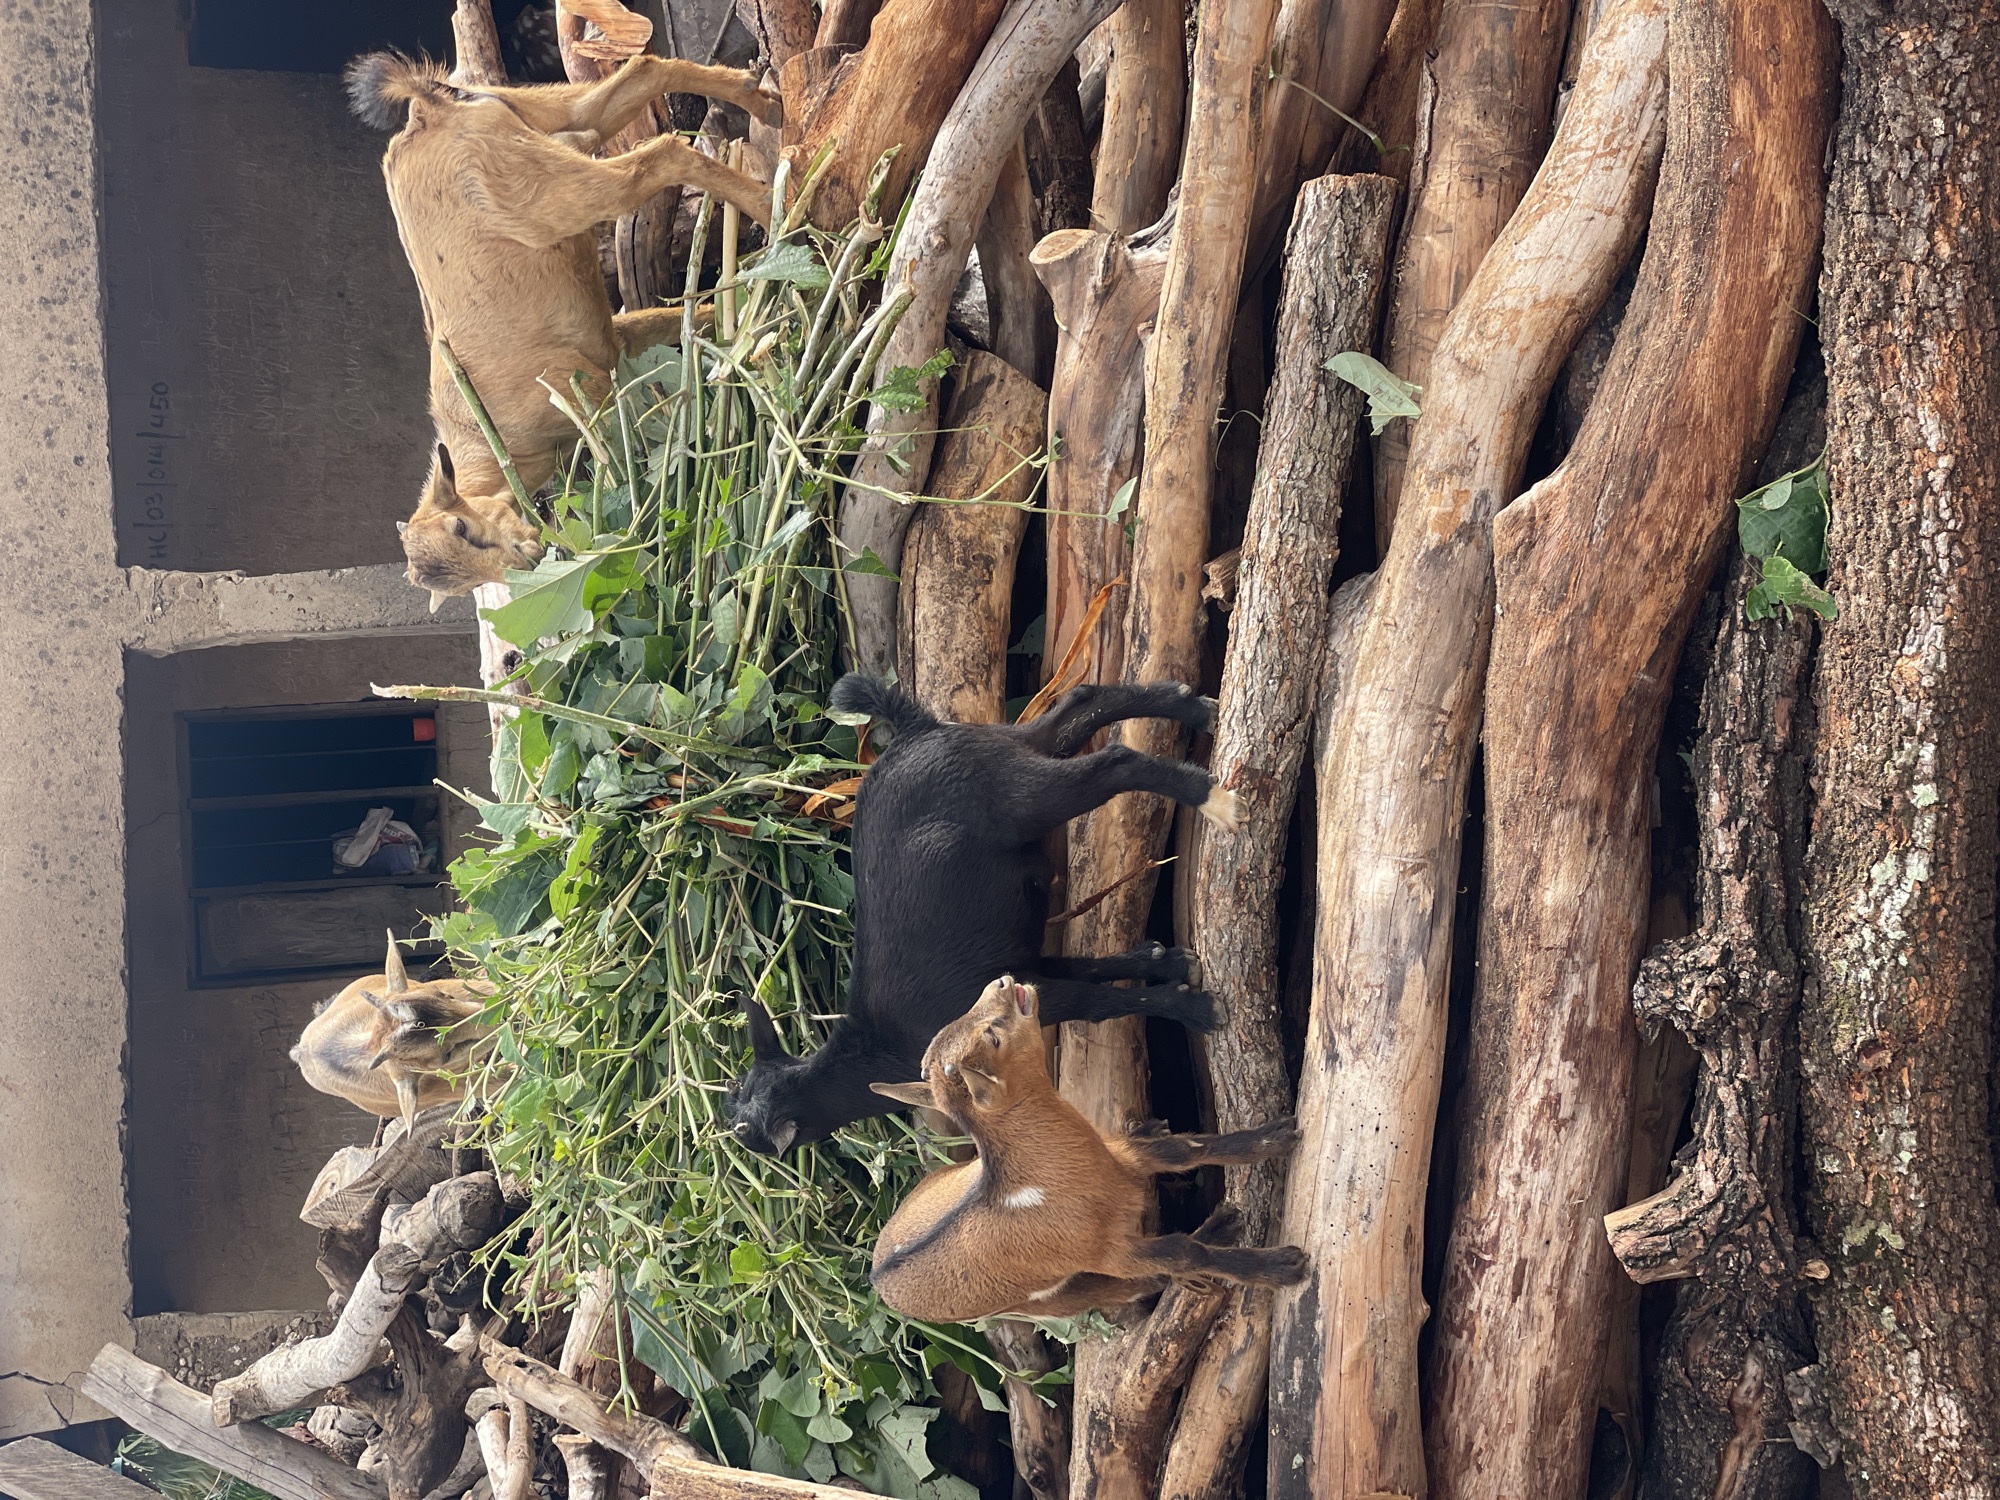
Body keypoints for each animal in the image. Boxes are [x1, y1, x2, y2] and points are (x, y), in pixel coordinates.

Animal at [346, 51, 782, 601]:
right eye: (464, 586)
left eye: (462, 528)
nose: (529, 557)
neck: (487, 431)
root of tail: (426, 115)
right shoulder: (614, 343)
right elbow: (670, 322)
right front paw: (731, 319)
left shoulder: (587, 389)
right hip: (542, 121)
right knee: (639, 75)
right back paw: (761, 100)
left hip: (546, 189)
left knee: (654, 156)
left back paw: (773, 201)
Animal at [726, 674, 1244, 1157]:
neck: (875, 1049)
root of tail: (916, 732)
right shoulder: (1025, 964)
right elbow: (1091, 970)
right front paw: (1168, 961)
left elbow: (1100, 1003)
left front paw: (1195, 1009)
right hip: (1006, 750)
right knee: (1079, 707)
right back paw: (1196, 708)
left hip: (1017, 797)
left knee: (1114, 760)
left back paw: (1216, 801)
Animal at [865, 975, 1308, 1321]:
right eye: (993, 1035)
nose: (1003, 983)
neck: (1036, 1183)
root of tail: (876, 1280)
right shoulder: (1110, 1253)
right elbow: (1182, 1252)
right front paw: (1282, 1266)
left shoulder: (1124, 1160)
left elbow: (1185, 1150)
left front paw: (1277, 1135)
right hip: (1038, 1302)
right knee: (1128, 1286)